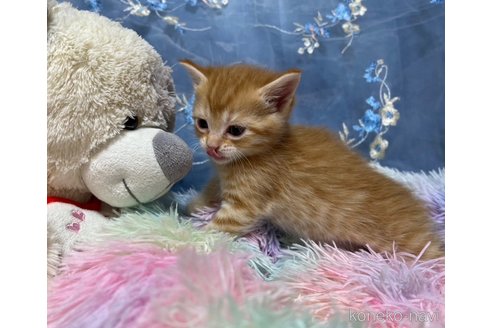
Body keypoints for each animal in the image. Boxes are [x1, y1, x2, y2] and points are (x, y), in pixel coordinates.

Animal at [183, 59, 444, 258]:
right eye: (203, 124)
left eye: (236, 130)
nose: (212, 146)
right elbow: (212, 188)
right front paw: (194, 205)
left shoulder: (244, 206)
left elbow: (216, 229)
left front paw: (185, 241)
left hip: (411, 245)